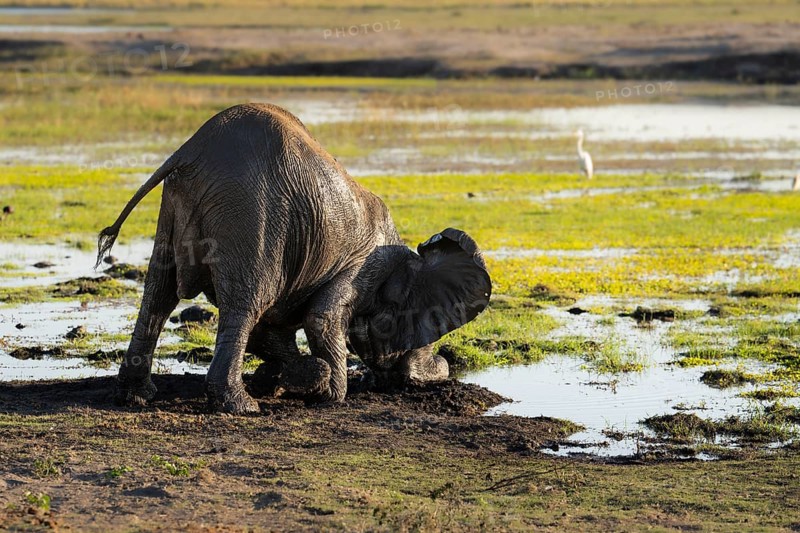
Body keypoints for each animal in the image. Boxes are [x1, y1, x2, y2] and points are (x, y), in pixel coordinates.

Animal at [97, 103, 491, 414]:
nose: (439, 364)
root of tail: (190, 151)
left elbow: (271, 333)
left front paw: (282, 379)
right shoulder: (362, 269)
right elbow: (320, 319)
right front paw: (326, 390)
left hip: (175, 211)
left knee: (158, 294)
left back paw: (136, 396)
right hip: (255, 215)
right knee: (245, 305)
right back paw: (241, 406)